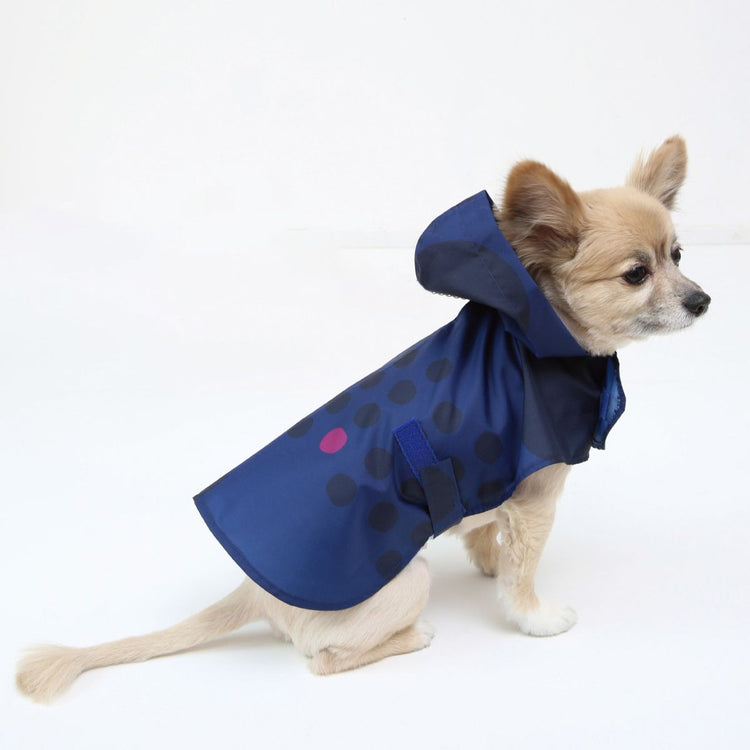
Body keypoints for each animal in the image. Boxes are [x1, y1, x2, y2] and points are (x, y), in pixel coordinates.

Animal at [16, 136, 710, 702]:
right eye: (637, 274)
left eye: (679, 254)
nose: (703, 300)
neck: (530, 337)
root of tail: (253, 591)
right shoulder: (539, 494)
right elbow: (523, 574)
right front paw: (535, 617)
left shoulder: (504, 490)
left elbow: (490, 535)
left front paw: (486, 559)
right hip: (405, 581)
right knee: (323, 660)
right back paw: (414, 636)